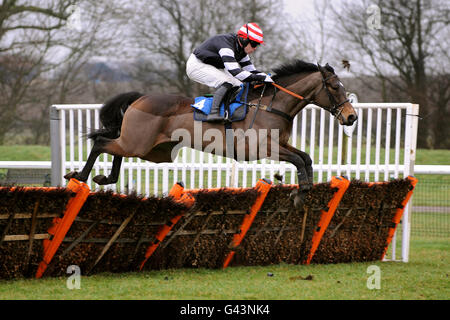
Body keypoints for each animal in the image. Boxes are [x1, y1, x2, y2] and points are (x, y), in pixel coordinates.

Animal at [64, 60, 358, 204]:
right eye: (334, 87)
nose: (351, 116)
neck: (272, 105)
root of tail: (140, 98)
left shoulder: (280, 145)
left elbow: (305, 158)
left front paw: (304, 192)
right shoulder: (262, 148)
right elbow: (298, 159)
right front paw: (300, 193)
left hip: (150, 149)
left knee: (115, 149)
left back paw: (106, 177)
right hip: (139, 143)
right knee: (101, 143)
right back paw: (79, 175)